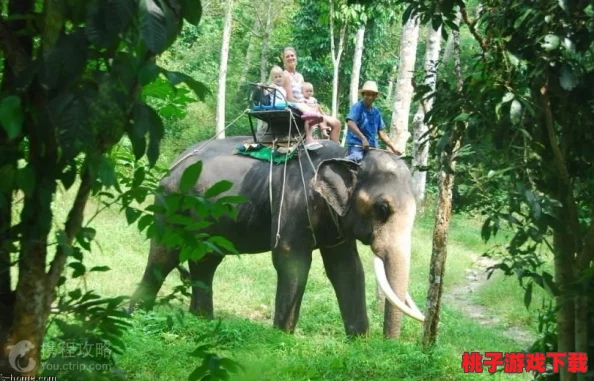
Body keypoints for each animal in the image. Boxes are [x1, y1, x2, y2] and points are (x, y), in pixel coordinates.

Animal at [130, 135, 424, 336]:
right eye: (382, 209)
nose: (387, 343)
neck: (345, 156)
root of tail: (172, 164)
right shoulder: (294, 202)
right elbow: (291, 260)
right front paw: (282, 336)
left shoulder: (336, 222)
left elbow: (346, 268)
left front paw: (359, 341)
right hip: (170, 205)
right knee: (164, 255)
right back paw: (135, 316)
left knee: (206, 260)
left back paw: (202, 321)